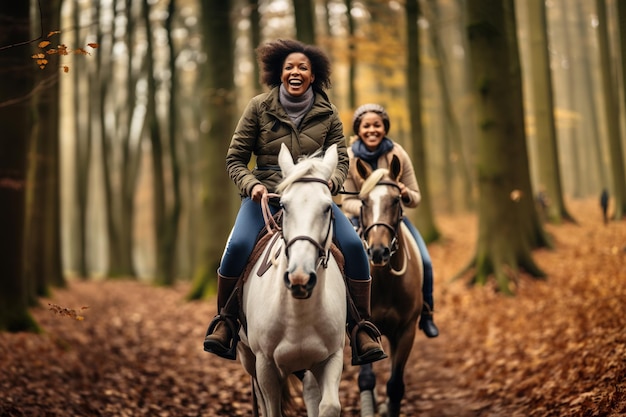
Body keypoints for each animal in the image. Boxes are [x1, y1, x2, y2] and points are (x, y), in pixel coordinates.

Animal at [238, 144, 348, 416]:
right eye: (284, 206)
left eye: (328, 208)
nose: (300, 278)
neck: (297, 313)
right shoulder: (265, 365)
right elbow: (271, 408)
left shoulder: (331, 358)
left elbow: (329, 405)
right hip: (248, 358)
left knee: (310, 393)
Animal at [352, 155, 420, 416]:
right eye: (363, 201)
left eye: (397, 199)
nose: (378, 251)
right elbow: (366, 379)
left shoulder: (406, 331)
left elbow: (395, 385)